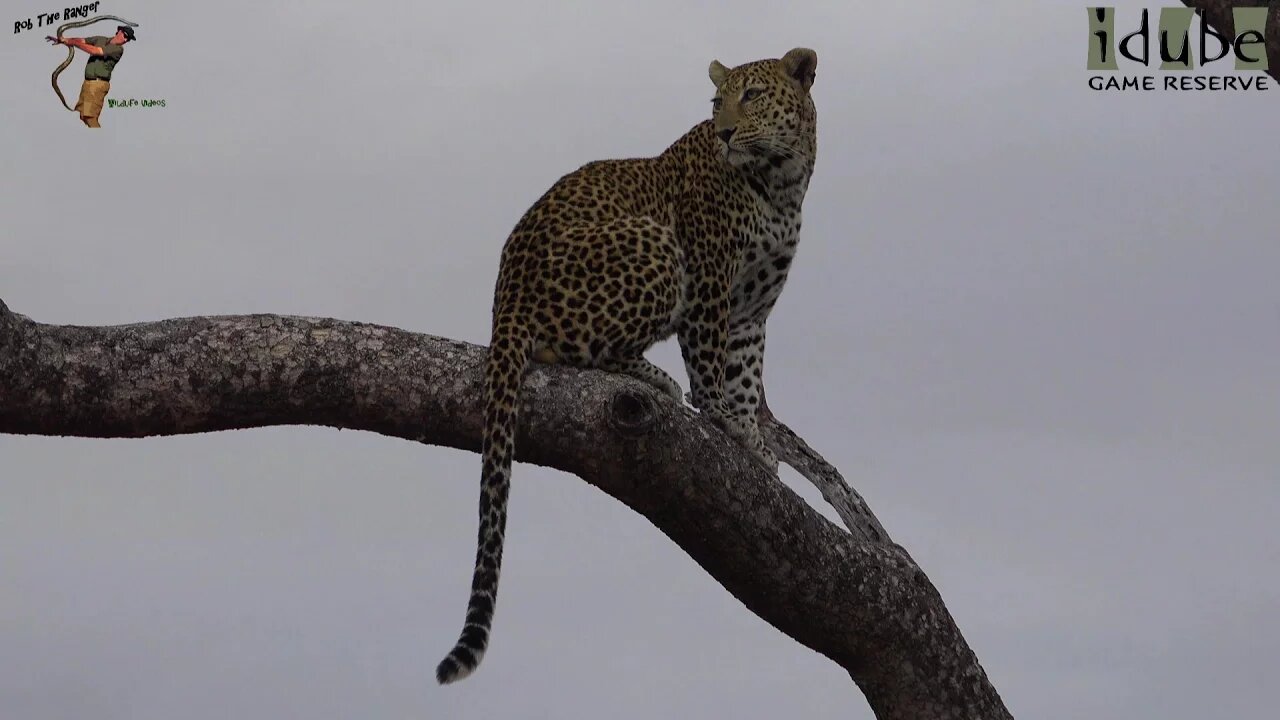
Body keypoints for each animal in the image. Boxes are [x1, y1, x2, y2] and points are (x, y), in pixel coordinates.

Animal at [437, 47, 819, 681]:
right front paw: (723, 423)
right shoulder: (710, 279)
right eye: (718, 102)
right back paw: (656, 380)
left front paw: (753, 443)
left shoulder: (751, 309)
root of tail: (505, 296)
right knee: (570, 349)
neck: (781, 181)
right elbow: (711, 367)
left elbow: (745, 377)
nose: (726, 133)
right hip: (656, 245)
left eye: (754, 96)